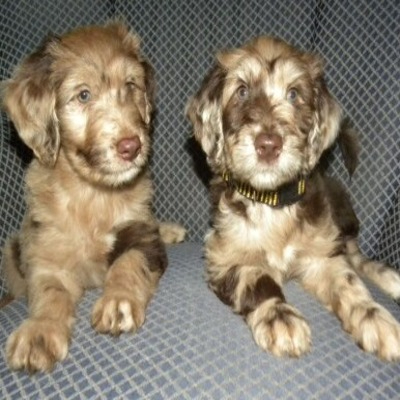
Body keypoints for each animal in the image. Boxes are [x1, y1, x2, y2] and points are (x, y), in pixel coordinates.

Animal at [1, 21, 185, 372]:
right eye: (83, 95)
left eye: (131, 85)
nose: (131, 146)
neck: (94, 194)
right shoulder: (47, 256)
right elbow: (49, 292)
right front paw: (39, 331)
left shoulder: (140, 234)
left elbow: (128, 261)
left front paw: (118, 301)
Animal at [188, 37, 400, 360]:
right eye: (242, 91)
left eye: (294, 94)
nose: (268, 145)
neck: (272, 202)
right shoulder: (224, 255)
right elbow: (257, 277)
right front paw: (279, 315)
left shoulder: (321, 254)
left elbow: (349, 281)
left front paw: (373, 315)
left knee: (355, 257)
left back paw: (391, 279)